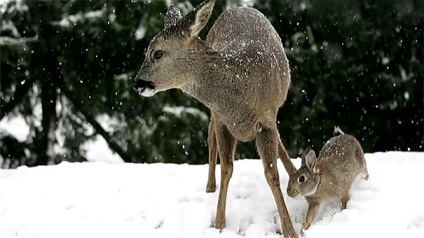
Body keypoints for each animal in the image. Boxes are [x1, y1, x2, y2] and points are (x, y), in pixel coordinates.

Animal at [134, 0, 296, 237]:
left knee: (279, 141)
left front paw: (291, 230)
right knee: (210, 140)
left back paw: (294, 171)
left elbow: (271, 173)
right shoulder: (222, 121)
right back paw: (210, 187)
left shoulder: (266, 121)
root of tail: (240, 8)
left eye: (157, 53)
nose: (137, 83)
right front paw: (219, 224)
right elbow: (226, 168)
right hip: (213, 114)